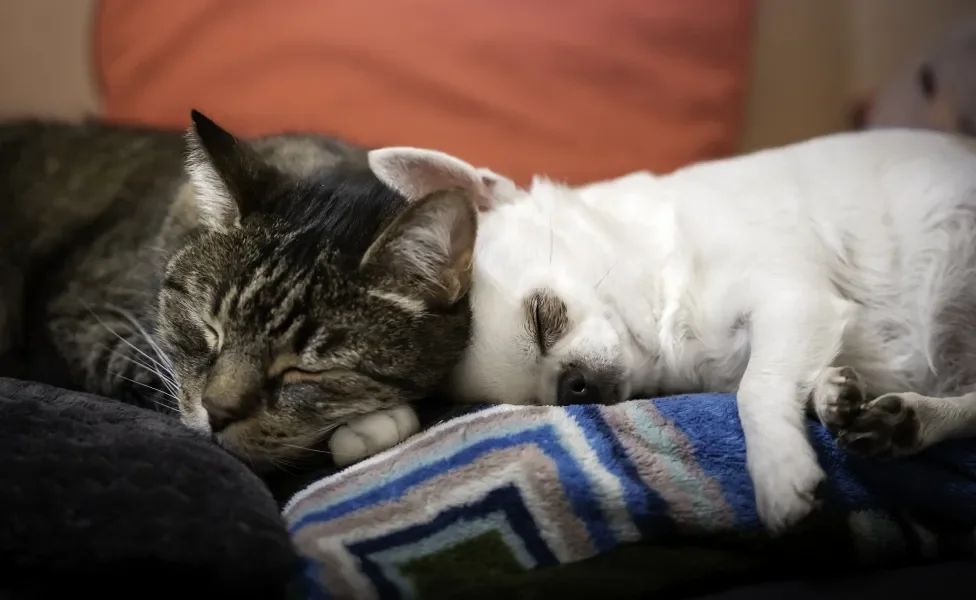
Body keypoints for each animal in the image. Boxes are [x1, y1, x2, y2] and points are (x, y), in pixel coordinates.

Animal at [332, 129, 976, 532]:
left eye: (543, 318)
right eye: (537, 400)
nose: (572, 386)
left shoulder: (795, 300)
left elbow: (756, 388)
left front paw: (778, 471)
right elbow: (775, 379)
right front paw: (830, 393)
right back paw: (901, 419)